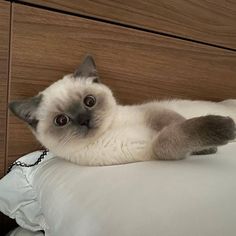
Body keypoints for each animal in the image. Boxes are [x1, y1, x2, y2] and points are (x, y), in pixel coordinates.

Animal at [10, 55, 236, 166]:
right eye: (61, 121)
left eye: (89, 101)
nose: (84, 120)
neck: (108, 131)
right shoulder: (154, 150)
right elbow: (172, 138)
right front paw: (223, 131)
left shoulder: (154, 111)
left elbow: (177, 122)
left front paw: (210, 147)